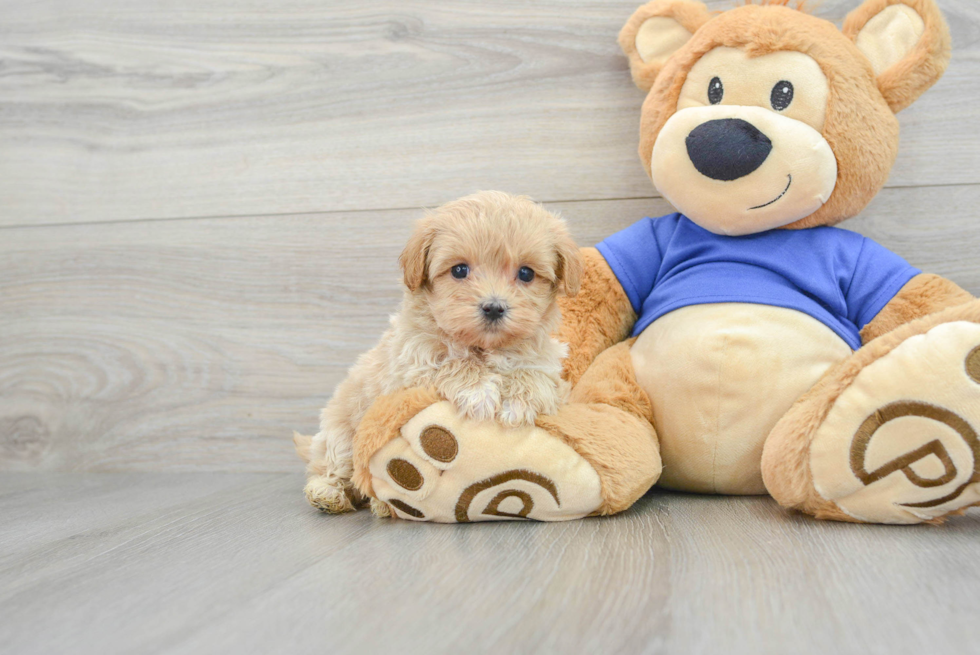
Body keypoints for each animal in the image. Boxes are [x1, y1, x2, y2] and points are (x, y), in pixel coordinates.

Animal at [290, 190, 580, 512]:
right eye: (460, 270)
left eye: (526, 273)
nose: (494, 307)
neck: (483, 347)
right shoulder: (410, 365)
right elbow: (449, 362)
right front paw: (479, 391)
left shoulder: (548, 365)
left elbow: (536, 376)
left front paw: (518, 401)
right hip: (341, 430)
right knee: (335, 466)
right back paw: (331, 493)